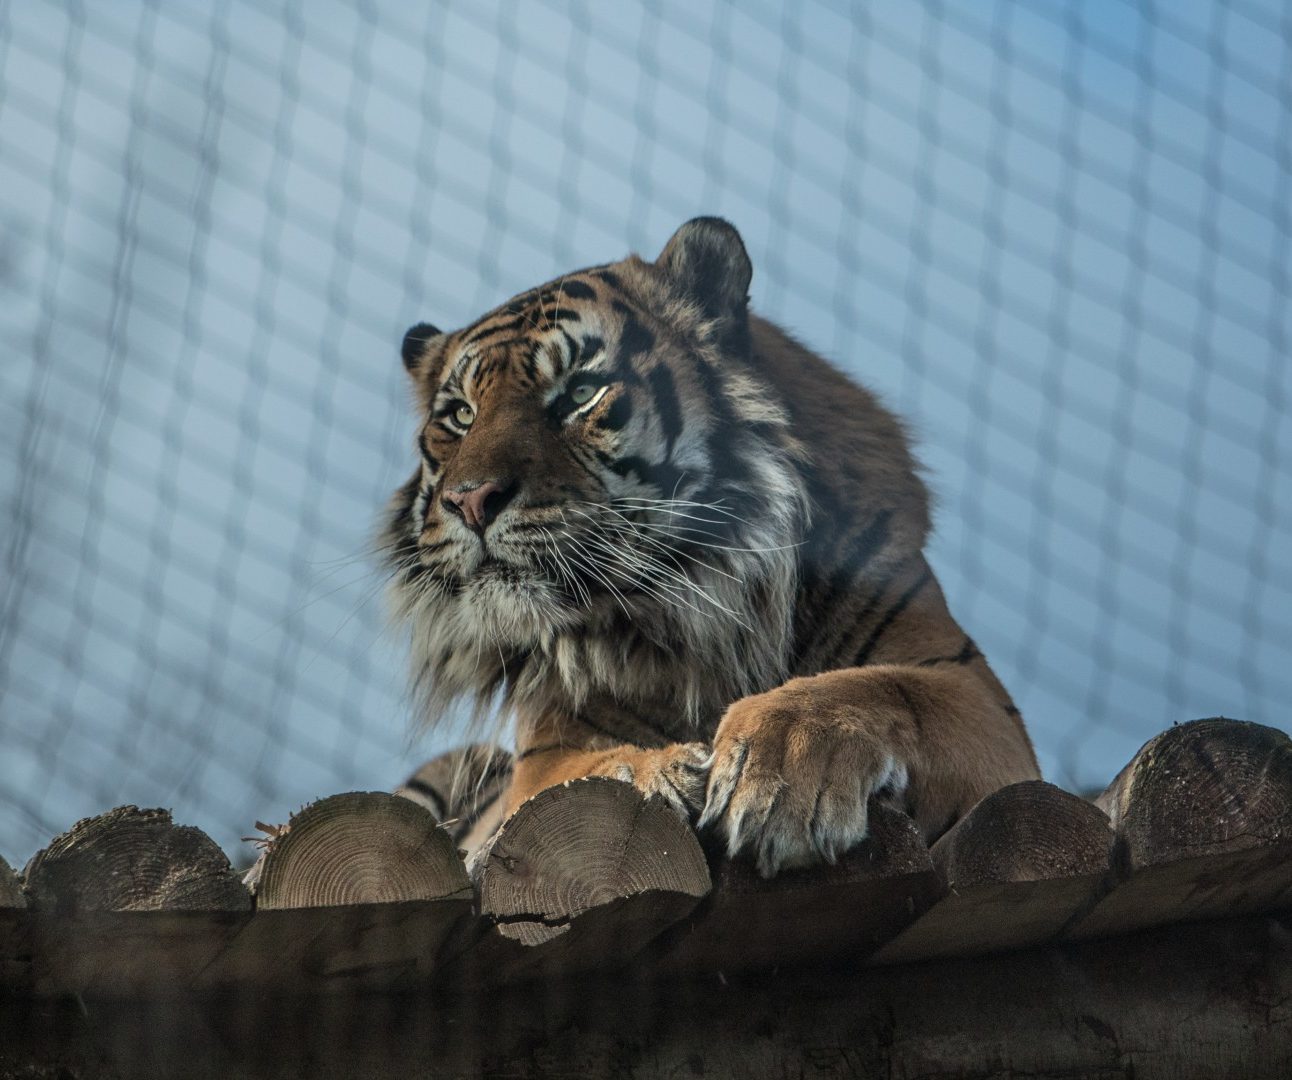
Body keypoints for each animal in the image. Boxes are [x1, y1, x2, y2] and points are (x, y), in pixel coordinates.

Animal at [382, 217, 1038, 878]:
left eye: (581, 393)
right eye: (460, 415)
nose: (470, 499)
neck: (708, 604)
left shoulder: (975, 696)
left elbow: (877, 688)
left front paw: (782, 759)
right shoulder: (544, 753)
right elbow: (582, 772)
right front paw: (663, 773)